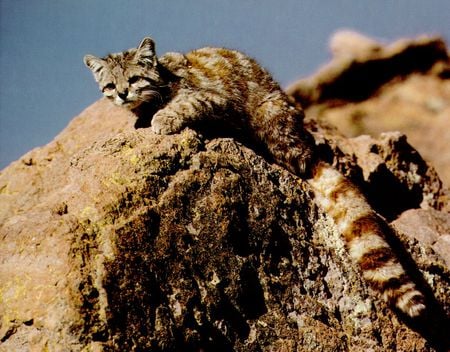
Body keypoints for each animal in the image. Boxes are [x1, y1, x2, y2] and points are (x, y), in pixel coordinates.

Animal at [85, 37, 428, 318]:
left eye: (133, 78)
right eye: (111, 85)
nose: (123, 94)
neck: (162, 79)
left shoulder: (213, 98)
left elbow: (184, 104)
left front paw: (162, 118)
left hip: (271, 120)